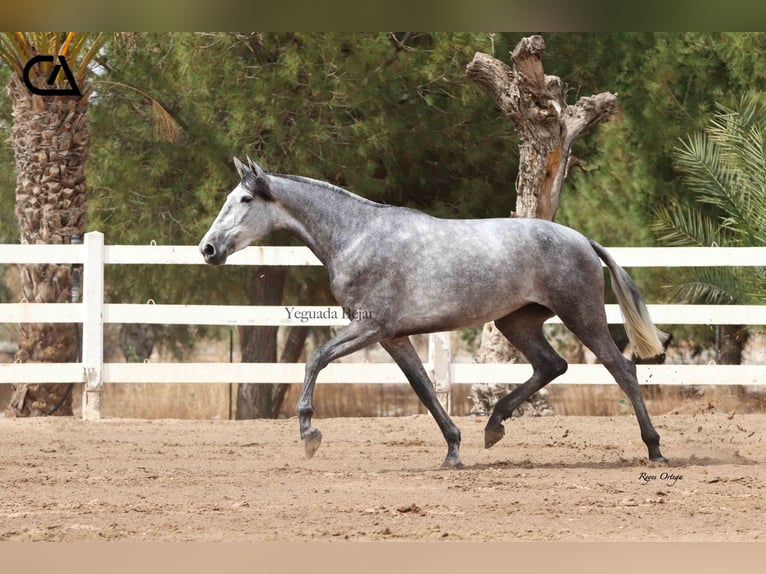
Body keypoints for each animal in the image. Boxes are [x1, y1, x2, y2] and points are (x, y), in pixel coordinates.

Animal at [200, 158, 672, 468]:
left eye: (245, 199)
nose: (207, 249)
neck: (355, 237)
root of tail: (583, 240)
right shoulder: (392, 338)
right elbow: (425, 390)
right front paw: (453, 451)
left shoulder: (370, 327)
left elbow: (316, 359)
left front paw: (309, 434)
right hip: (516, 321)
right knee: (551, 365)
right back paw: (494, 427)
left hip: (581, 316)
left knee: (622, 370)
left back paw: (654, 449)